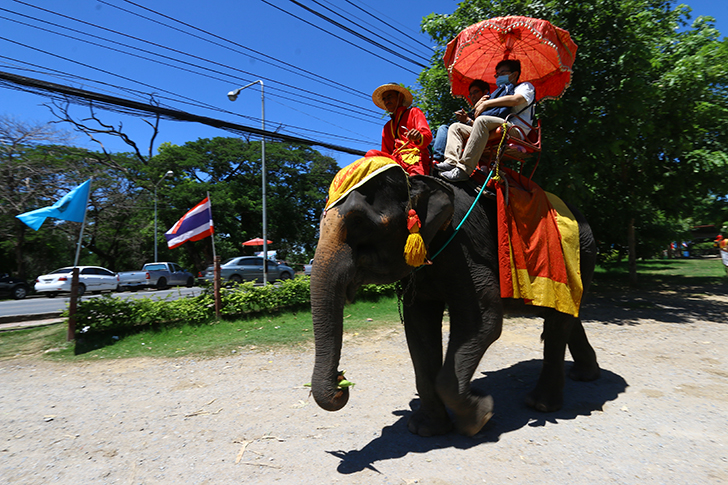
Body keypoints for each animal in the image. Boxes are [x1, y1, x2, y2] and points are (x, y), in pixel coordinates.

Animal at [310, 164, 600, 436]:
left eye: (359, 221)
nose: (341, 381)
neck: (418, 181)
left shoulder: (465, 245)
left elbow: (483, 321)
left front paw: (480, 417)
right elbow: (419, 326)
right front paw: (426, 429)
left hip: (580, 257)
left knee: (558, 323)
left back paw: (541, 404)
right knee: (566, 317)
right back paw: (584, 375)